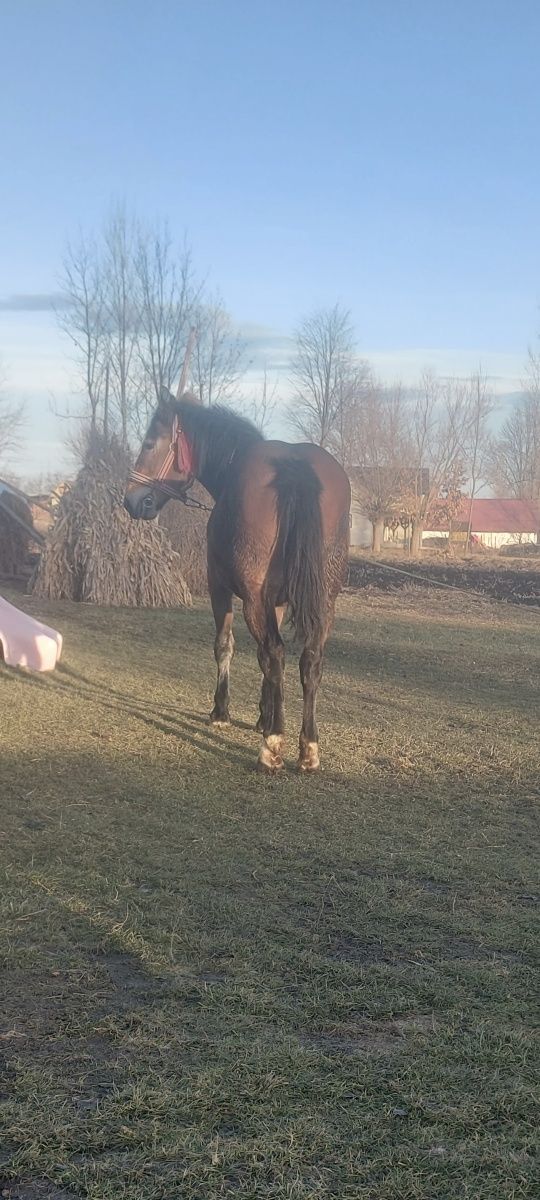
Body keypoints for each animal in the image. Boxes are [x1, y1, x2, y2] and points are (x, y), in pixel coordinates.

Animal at [123, 388, 350, 772]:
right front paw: (264, 715)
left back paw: (272, 748)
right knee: (309, 660)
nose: (131, 500)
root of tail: (294, 466)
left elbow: (225, 646)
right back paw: (307, 748)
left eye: (150, 442)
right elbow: (263, 661)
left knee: (275, 652)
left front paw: (223, 712)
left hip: (253, 599)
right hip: (325, 601)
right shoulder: (276, 602)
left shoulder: (223, 589)